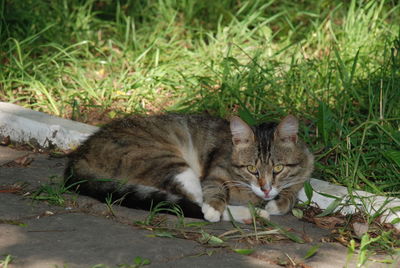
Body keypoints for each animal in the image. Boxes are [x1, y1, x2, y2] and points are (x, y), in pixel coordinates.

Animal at [63, 112, 312, 222]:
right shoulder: (214, 174)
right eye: (251, 169)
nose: (266, 189)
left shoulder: (304, 170)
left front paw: (280, 202)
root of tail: (78, 156)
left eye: (278, 169)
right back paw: (246, 213)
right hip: (170, 163)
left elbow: (293, 192)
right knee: (195, 203)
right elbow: (214, 194)